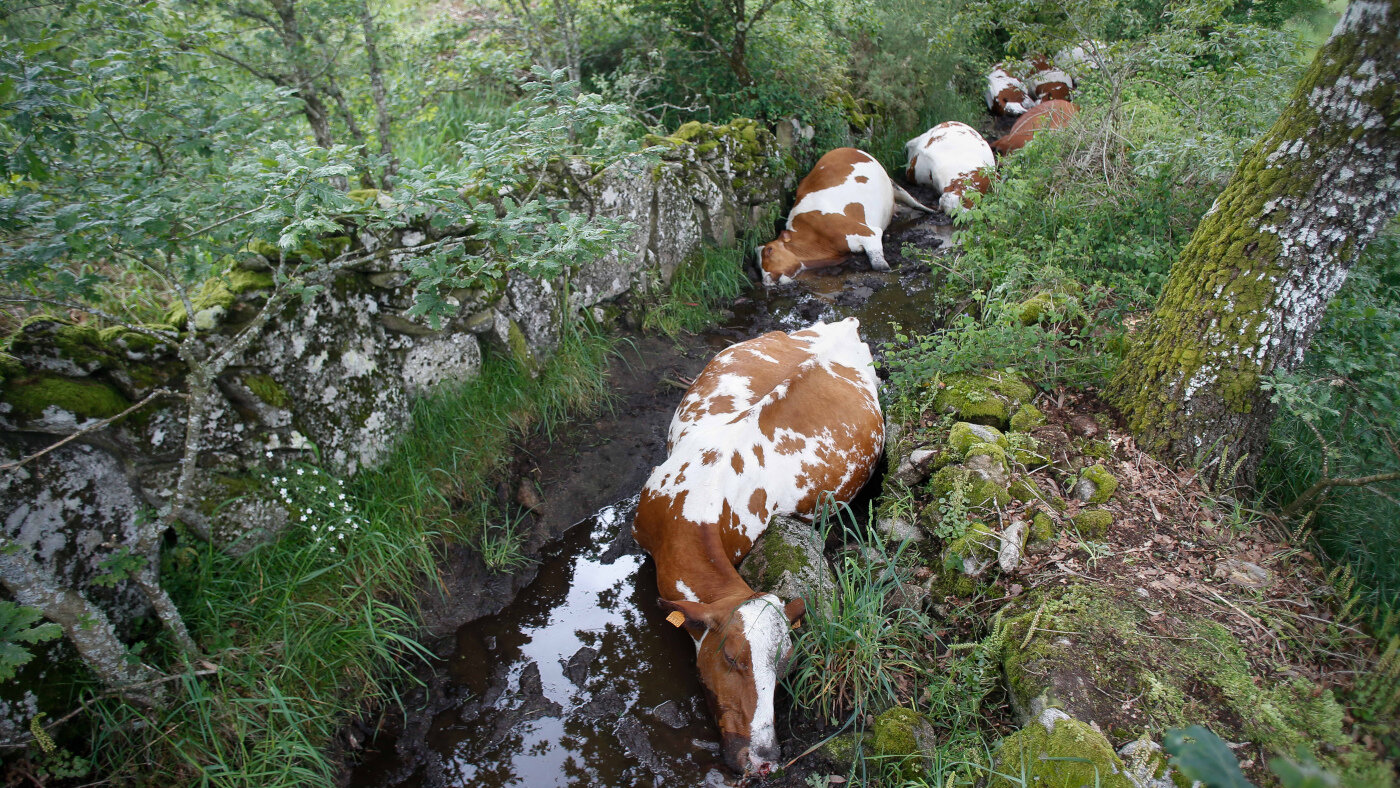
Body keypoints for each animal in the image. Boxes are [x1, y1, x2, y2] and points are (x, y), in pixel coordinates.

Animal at [756, 148, 933, 286]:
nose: (766, 281)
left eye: (769, 250)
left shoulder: (867, 232)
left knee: (909, 197)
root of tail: (845, 148)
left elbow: (879, 265)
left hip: (891, 182)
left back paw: (930, 210)